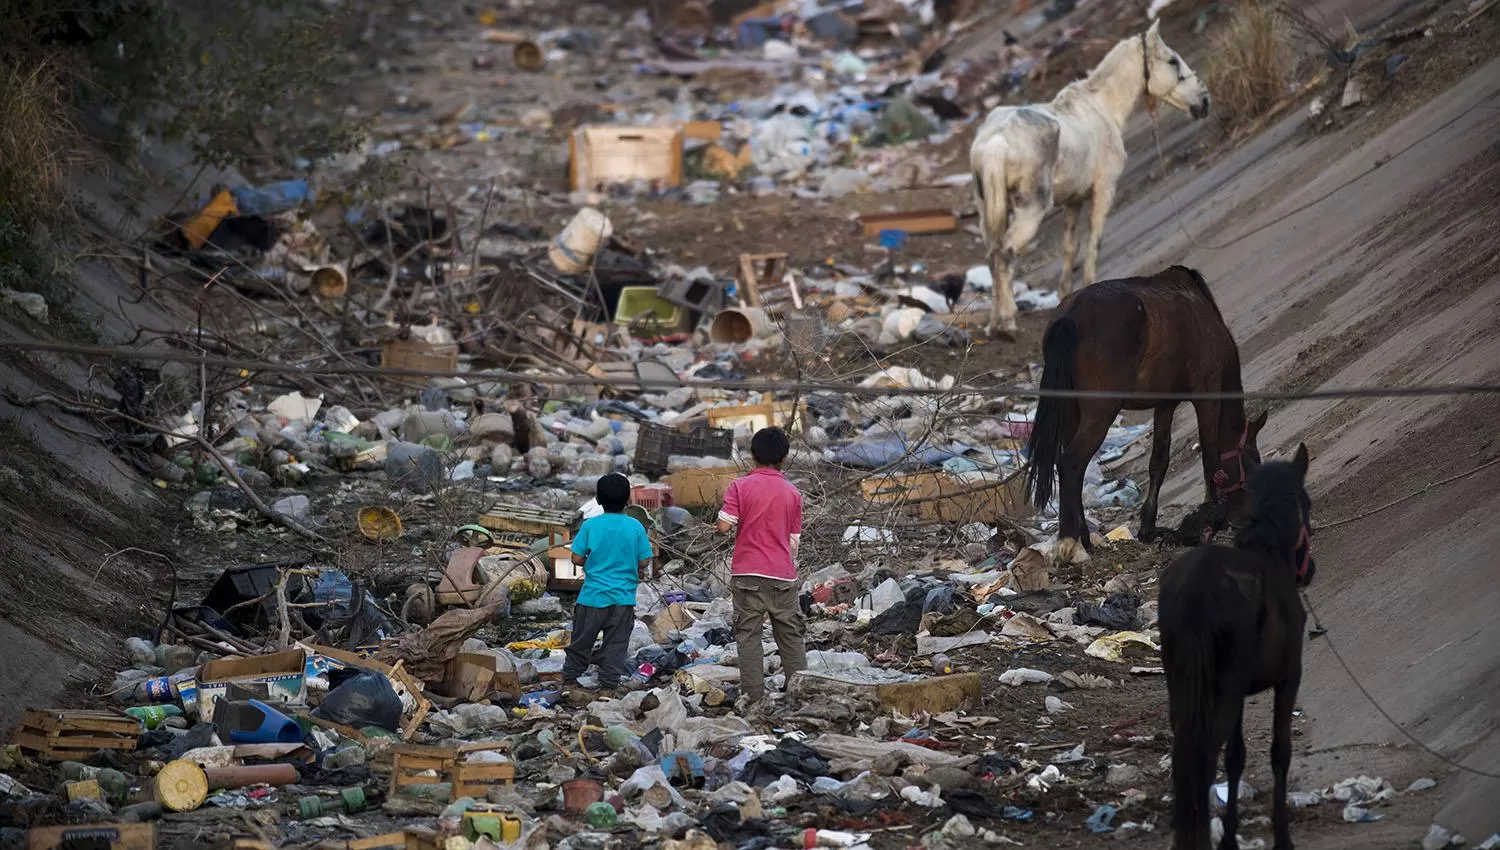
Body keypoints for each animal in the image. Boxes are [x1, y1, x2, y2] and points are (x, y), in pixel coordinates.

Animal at [966, 19, 1212, 335]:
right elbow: (1095, 239)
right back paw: (1007, 322)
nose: (1204, 101)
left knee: (992, 256)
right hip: (1030, 210)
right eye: (1172, 61)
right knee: (1005, 254)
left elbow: (1070, 247)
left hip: (987, 212)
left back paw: (995, 322)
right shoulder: (1104, 190)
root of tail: (995, 142)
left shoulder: (1074, 201)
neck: (1101, 107)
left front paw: (1065, 293)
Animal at [1026, 262, 1260, 560]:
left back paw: (1084, 537)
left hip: (1071, 411)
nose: (1242, 519)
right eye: (1252, 461)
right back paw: (1070, 541)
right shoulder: (1207, 393)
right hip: (1101, 412)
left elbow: (1159, 460)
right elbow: (1211, 459)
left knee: (1074, 468)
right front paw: (1209, 521)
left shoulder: (1165, 404)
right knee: (1071, 462)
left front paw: (1148, 527)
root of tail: (1070, 316)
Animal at [1158, 446, 1314, 850]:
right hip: (1225, 687)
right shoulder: (1289, 678)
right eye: (1308, 503)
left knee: (1186, 753)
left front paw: (1229, 837)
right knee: (1204, 754)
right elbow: (1279, 752)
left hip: (1183, 683)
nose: (1309, 571)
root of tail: (1197, 587)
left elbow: (1237, 757)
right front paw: (1282, 836)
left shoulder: (1239, 690)